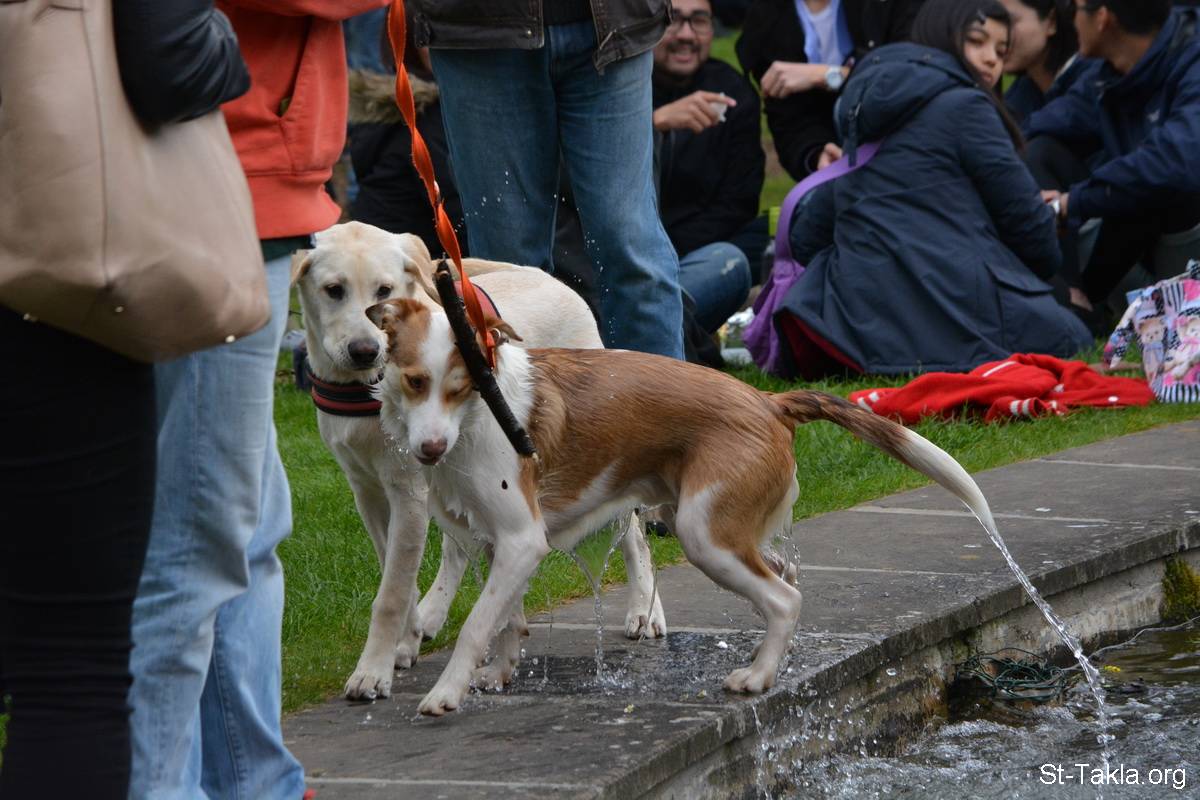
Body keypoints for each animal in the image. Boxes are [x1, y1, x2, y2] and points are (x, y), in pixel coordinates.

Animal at [293, 221, 666, 701]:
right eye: (333, 290)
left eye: (384, 289)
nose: (365, 350)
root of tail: (553, 279)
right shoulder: (369, 490)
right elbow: (395, 572)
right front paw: (405, 640)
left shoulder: (408, 491)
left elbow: (392, 591)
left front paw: (372, 671)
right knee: (458, 546)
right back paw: (433, 612)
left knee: (634, 534)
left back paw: (644, 609)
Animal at [366, 298, 1001, 716]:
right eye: (416, 381)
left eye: (461, 386)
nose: (429, 449)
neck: (476, 421)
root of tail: (768, 400)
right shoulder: (500, 541)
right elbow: (505, 619)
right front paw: (497, 673)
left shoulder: (523, 540)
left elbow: (475, 624)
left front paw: (445, 692)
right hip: (711, 521)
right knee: (787, 573)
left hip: (703, 533)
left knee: (785, 598)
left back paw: (758, 675)